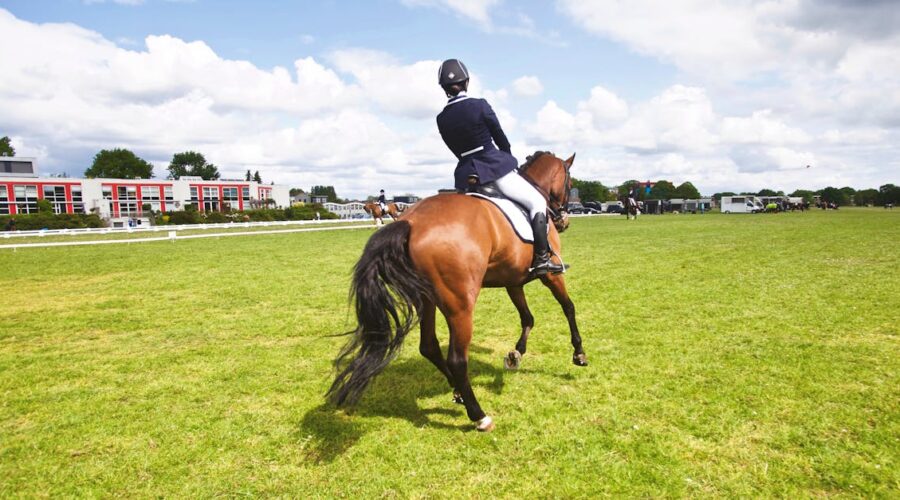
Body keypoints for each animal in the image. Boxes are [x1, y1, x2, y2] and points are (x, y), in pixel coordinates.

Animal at [328, 152, 586, 432]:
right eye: (570, 183)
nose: (564, 222)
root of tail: (411, 221)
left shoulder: (513, 281)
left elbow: (527, 317)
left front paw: (515, 354)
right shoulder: (551, 275)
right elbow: (569, 307)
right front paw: (579, 353)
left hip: (426, 299)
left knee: (429, 347)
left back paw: (459, 393)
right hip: (460, 305)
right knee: (457, 359)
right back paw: (479, 415)